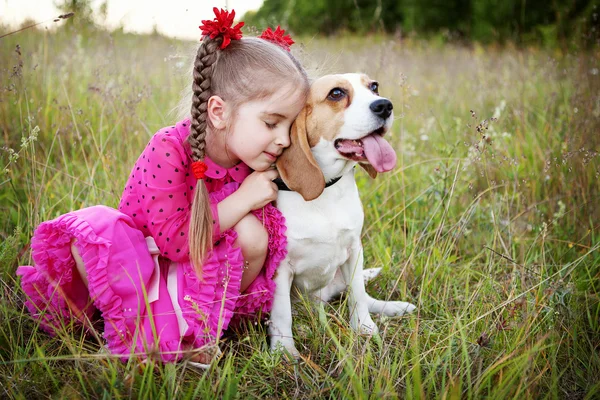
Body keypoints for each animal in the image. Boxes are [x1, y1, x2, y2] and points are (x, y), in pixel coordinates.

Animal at [270, 72, 418, 356]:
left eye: (374, 87)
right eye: (336, 93)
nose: (385, 105)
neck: (327, 189)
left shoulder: (354, 250)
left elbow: (358, 296)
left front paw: (365, 329)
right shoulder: (280, 268)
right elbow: (282, 313)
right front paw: (284, 352)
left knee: (363, 295)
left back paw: (394, 307)